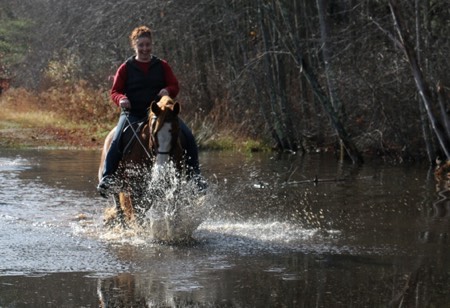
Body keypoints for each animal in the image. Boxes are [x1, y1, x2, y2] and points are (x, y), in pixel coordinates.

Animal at [98, 95, 185, 227]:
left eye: (176, 131)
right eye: (154, 133)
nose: (162, 168)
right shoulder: (135, 188)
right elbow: (138, 213)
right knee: (119, 206)